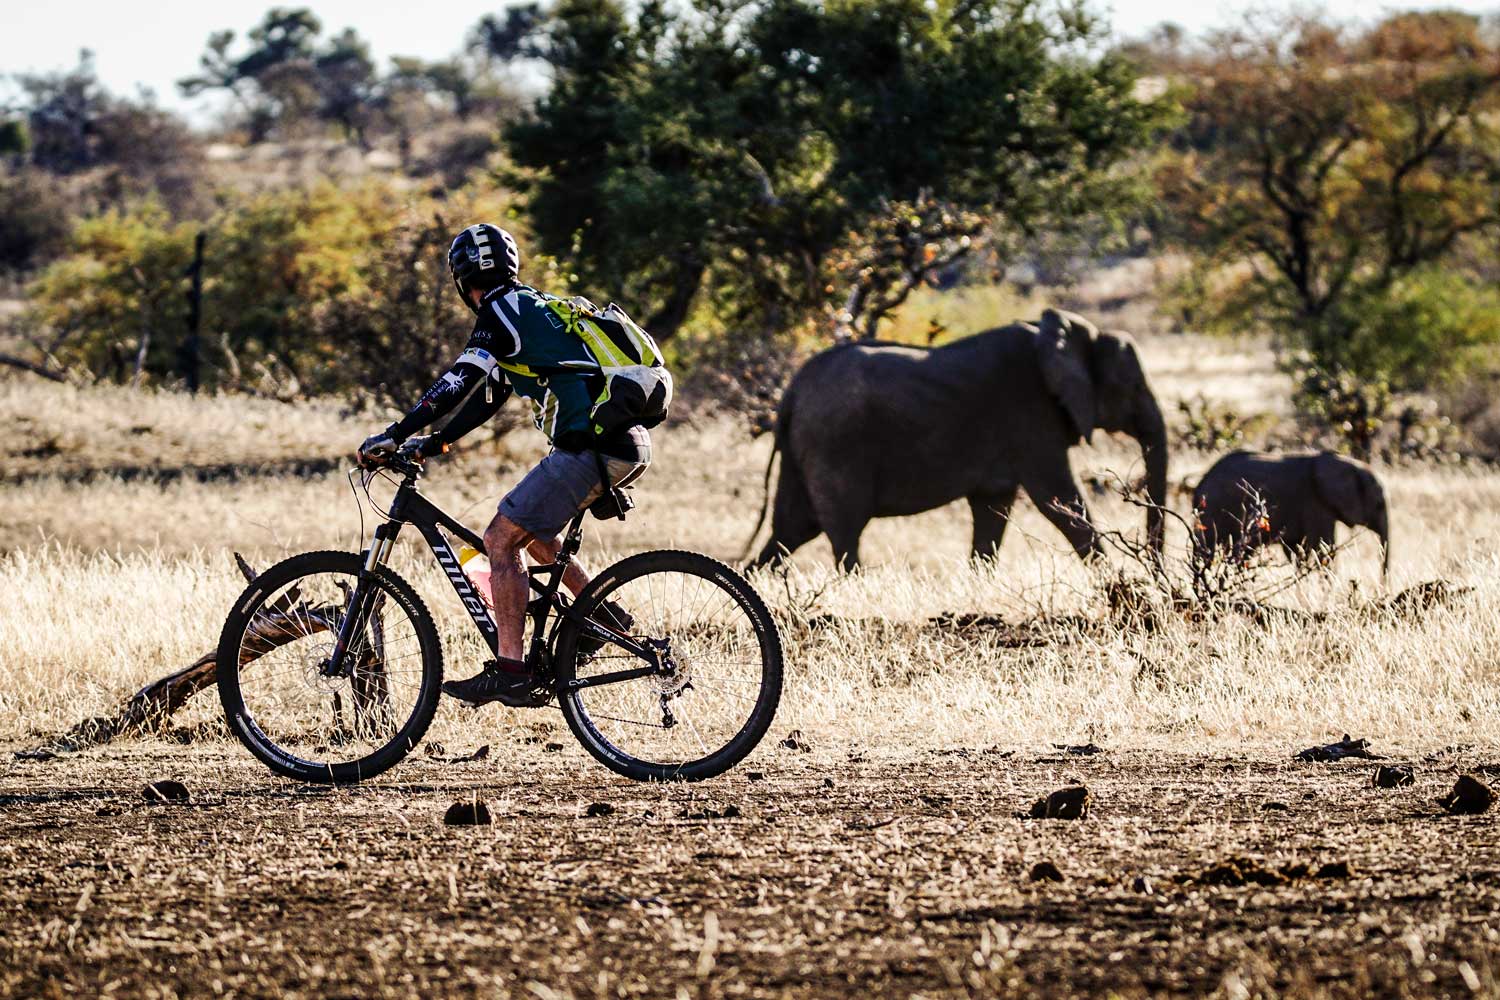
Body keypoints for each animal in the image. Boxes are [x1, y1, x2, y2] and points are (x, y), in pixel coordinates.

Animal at [747, 308, 1170, 569]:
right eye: (1133, 386)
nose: (1155, 569)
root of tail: (791, 392)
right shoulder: (1031, 415)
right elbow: (1059, 502)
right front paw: (1116, 581)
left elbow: (993, 509)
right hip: (835, 445)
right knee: (842, 531)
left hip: (805, 448)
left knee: (791, 530)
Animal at [1194, 449, 1392, 575]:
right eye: (1379, 504)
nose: (1383, 588)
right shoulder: (1315, 502)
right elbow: (1323, 548)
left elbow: (1298, 550)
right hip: (1212, 513)